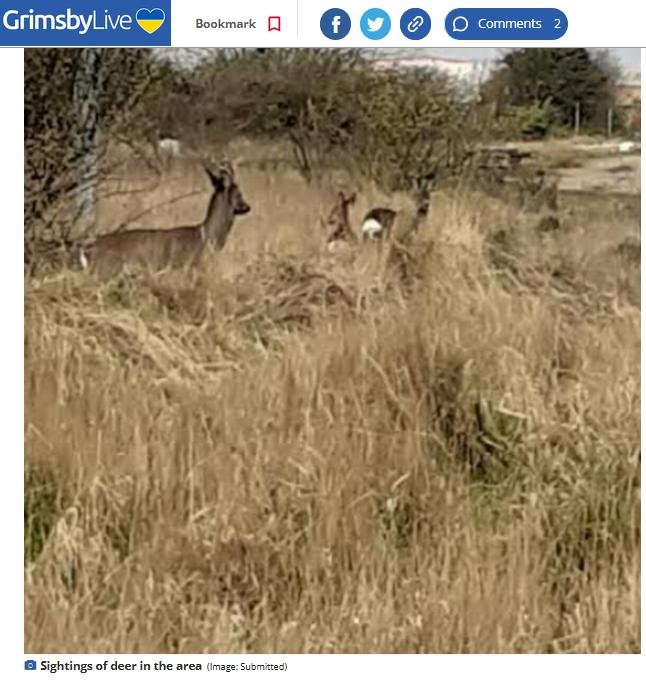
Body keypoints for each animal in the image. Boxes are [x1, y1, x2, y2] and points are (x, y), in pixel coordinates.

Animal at [78, 161, 250, 277]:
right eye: (239, 193)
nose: (247, 207)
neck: (207, 236)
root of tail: (88, 249)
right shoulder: (190, 266)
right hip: (106, 270)